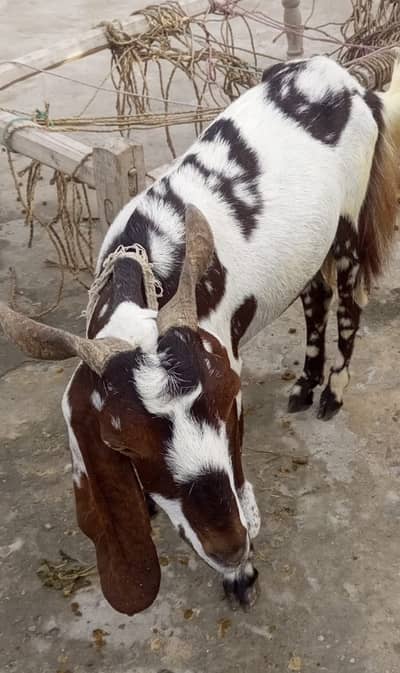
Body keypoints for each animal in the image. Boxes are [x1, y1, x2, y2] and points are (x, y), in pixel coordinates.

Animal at [1, 54, 400, 616]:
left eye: (229, 401)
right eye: (120, 441)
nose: (230, 545)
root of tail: (343, 78)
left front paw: (241, 578)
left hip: (347, 227)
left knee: (348, 302)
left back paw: (331, 395)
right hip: (311, 248)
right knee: (315, 299)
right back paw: (303, 387)